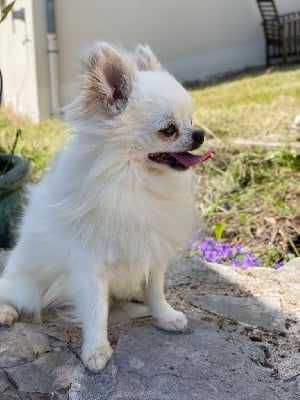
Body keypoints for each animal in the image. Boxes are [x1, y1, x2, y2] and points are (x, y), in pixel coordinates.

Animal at [0, 43, 213, 372]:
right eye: (168, 130)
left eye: (191, 120)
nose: (199, 134)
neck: (133, 182)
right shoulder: (89, 267)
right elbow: (96, 311)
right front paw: (96, 350)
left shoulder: (152, 250)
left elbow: (156, 289)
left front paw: (164, 316)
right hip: (25, 287)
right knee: (9, 294)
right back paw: (6, 312)